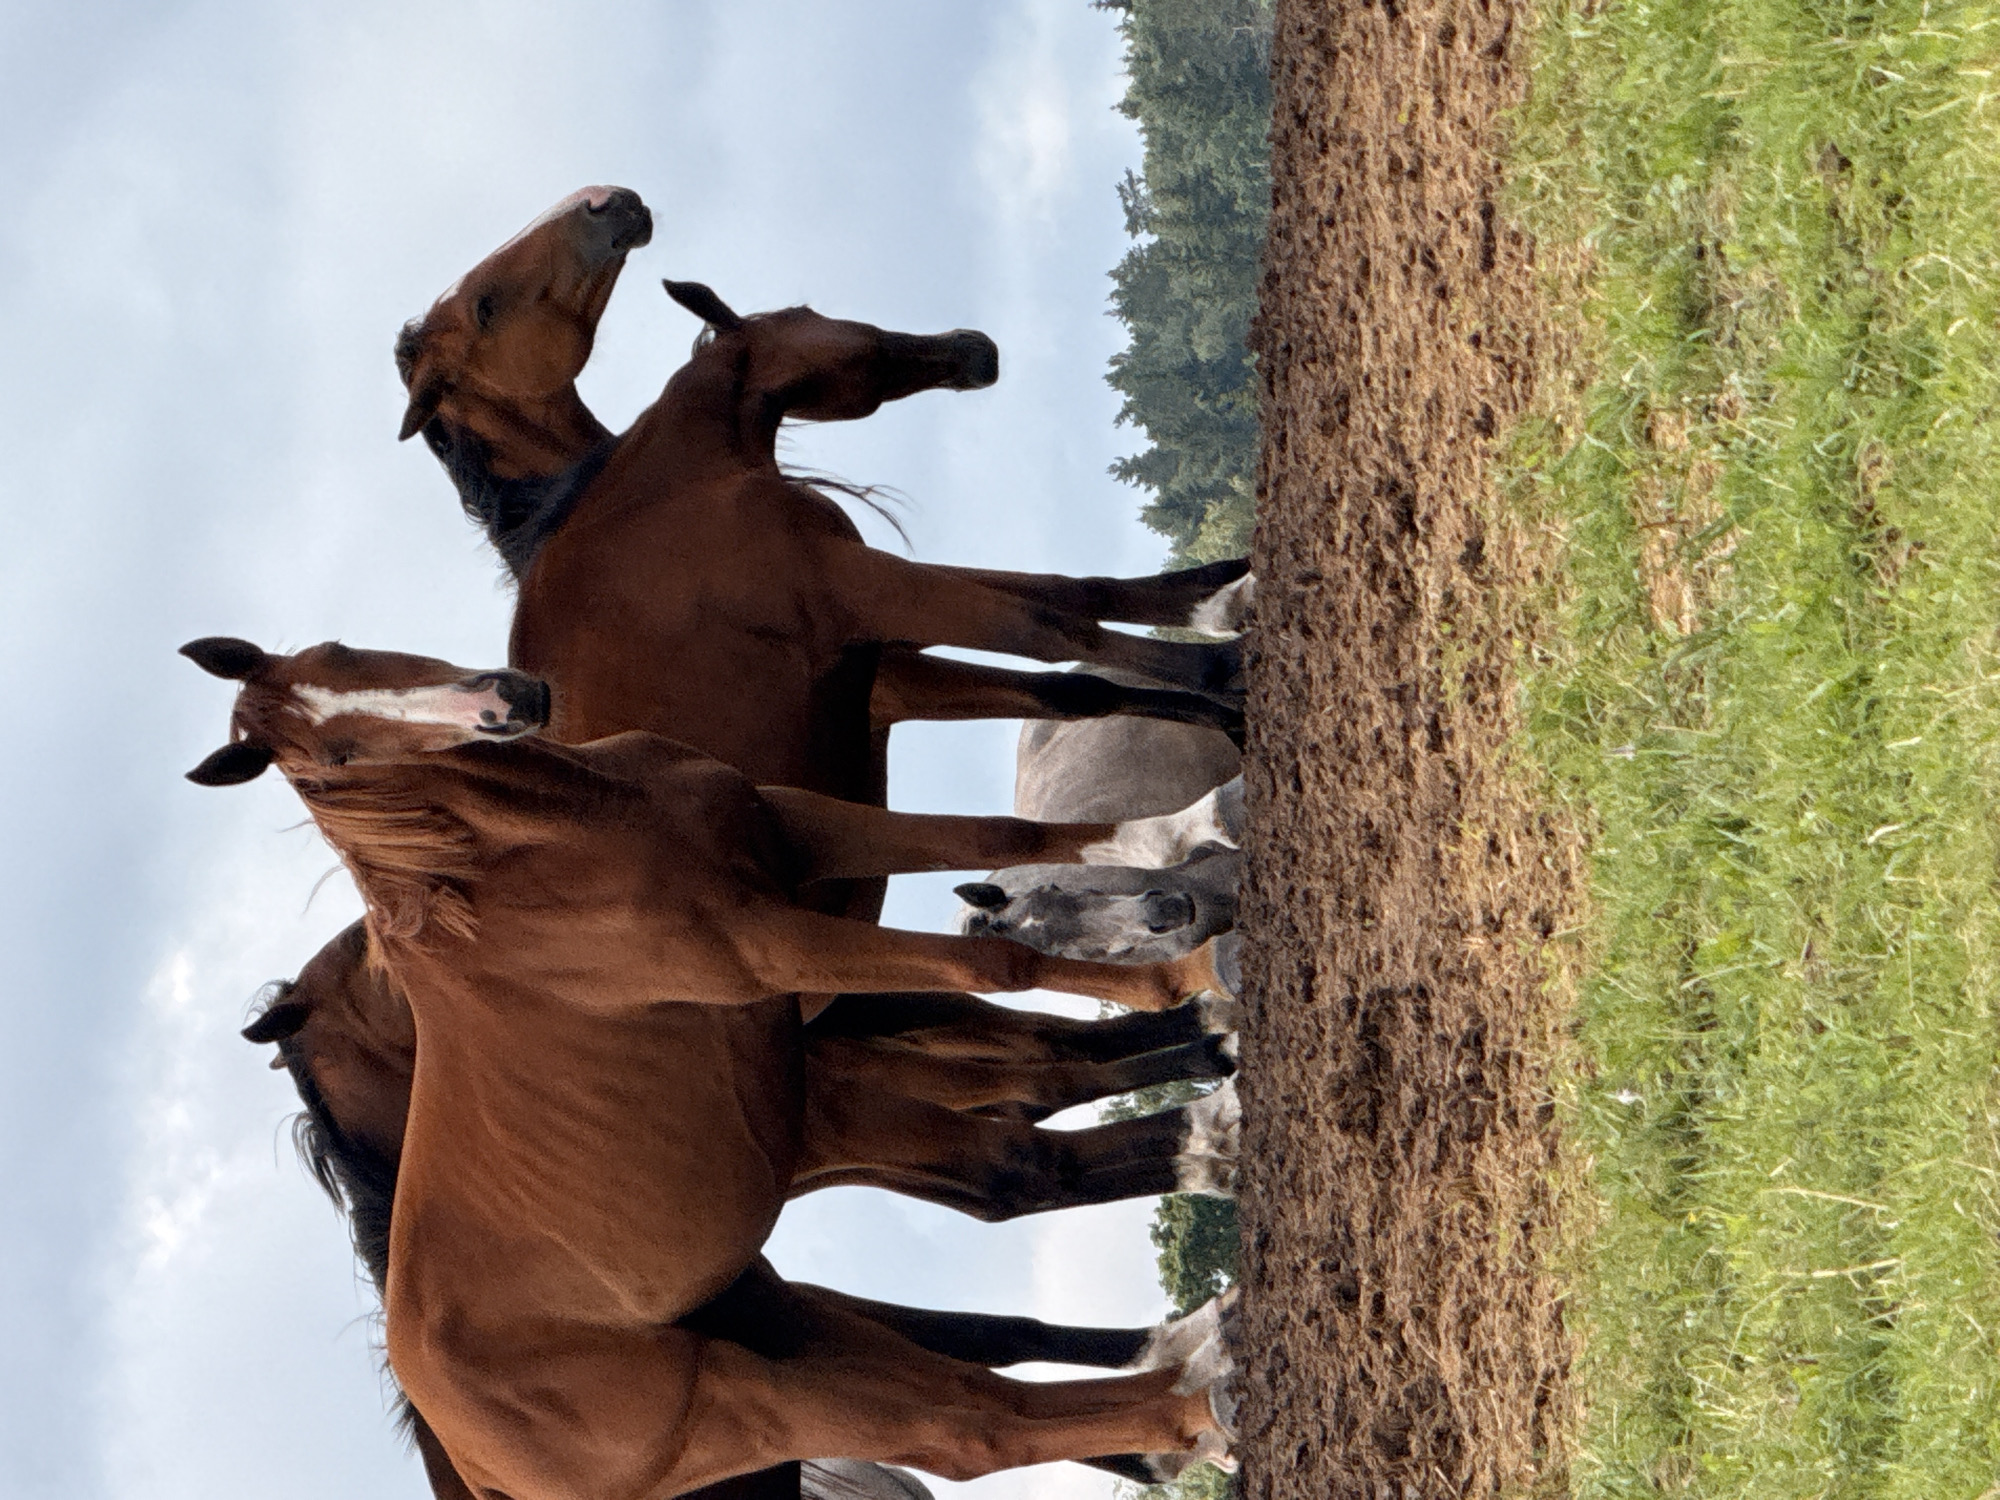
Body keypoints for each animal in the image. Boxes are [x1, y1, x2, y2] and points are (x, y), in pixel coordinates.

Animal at [185, 638, 1238, 1492]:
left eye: (341, 650)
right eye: (332, 754)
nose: (508, 698)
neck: (561, 844)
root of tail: (473, 1443)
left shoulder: (802, 831)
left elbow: (1009, 844)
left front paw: (1183, 872)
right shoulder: (778, 955)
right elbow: (1005, 989)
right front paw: (1192, 997)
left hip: (805, 1337)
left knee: (983, 1371)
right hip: (759, 1400)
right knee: (976, 1427)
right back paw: (1201, 1392)